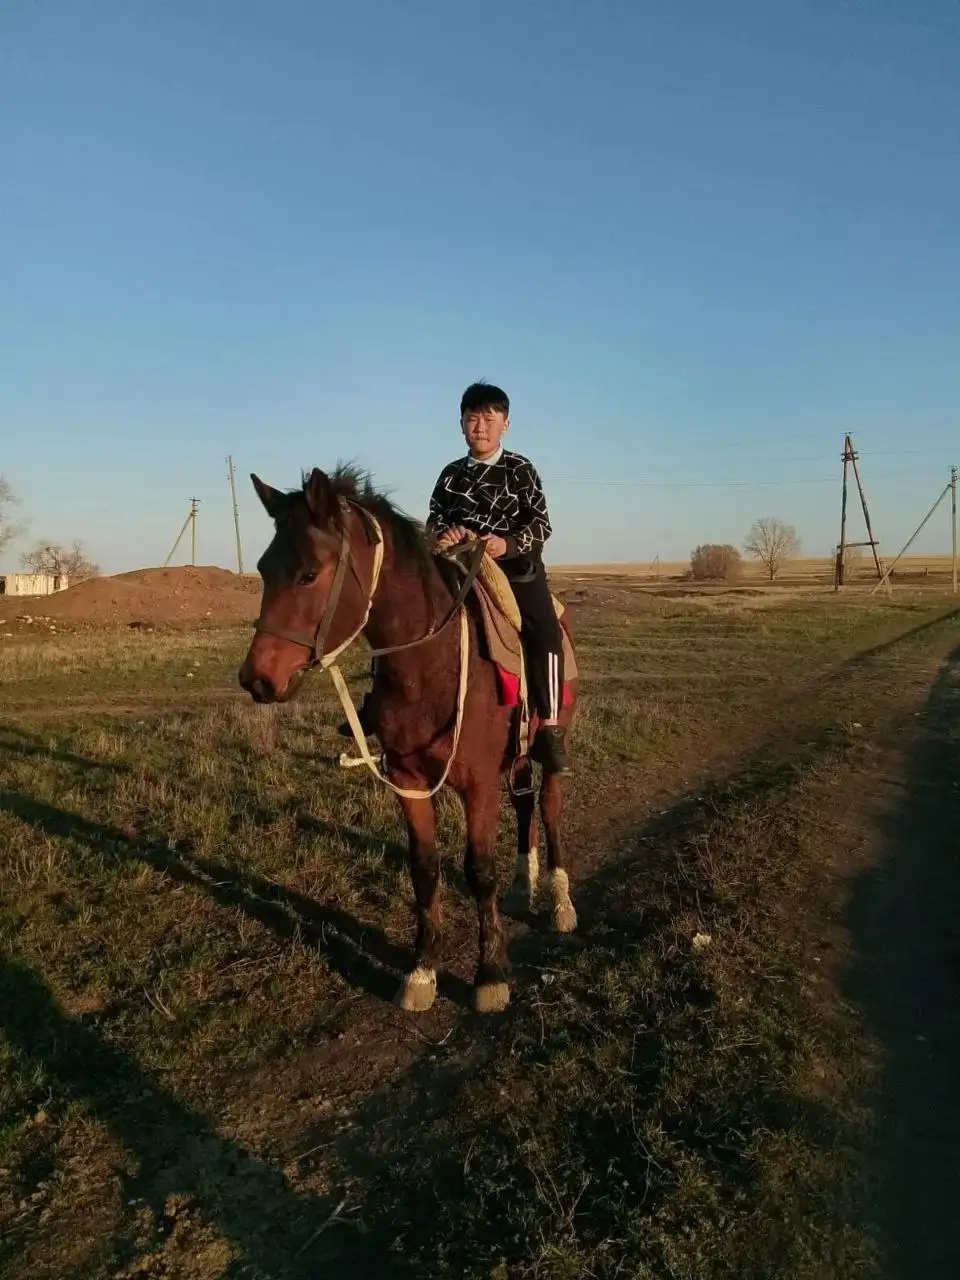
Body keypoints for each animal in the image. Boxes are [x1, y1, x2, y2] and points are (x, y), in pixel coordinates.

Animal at [238, 465, 578, 1014]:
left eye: (309, 573)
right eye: (265, 570)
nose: (257, 679)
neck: (431, 664)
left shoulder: (478, 783)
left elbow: (479, 870)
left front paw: (489, 975)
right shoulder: (408, 779)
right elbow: (424, 868)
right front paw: (422, 970)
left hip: (549, 744)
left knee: (548, 809)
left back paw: (560, 901)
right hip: (516, 755)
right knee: (525, 804)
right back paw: (523, 884)